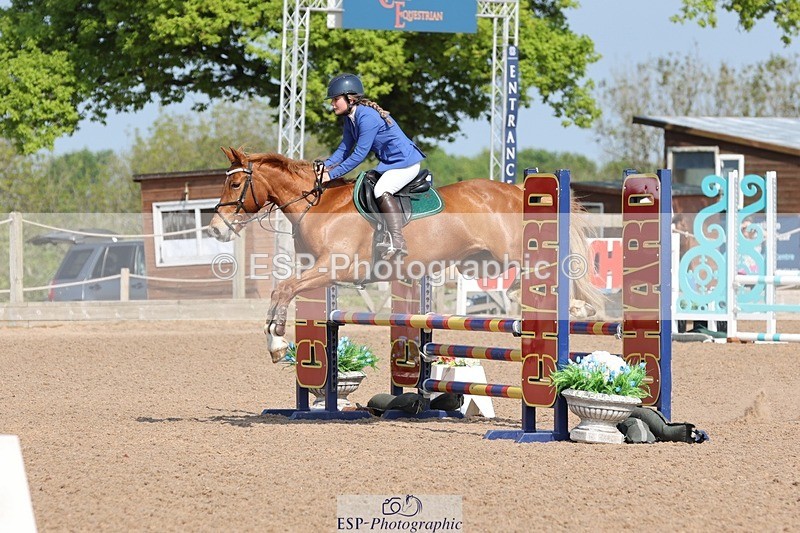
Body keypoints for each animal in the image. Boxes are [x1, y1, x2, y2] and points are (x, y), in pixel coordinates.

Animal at [208, 147, 603, 362]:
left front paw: (276, 342)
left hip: (513, 254)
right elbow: (283, 289)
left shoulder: (336, 269)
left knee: (549, 274)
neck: (319, 205)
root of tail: (518, 189)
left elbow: (285, 289)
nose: (215, 228)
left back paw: (574, 308)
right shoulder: (318, 271)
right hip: (482, 260)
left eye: (235, 183)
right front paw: (276, 344)